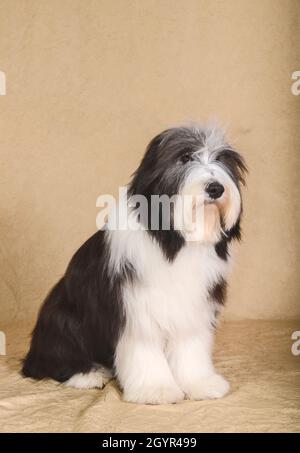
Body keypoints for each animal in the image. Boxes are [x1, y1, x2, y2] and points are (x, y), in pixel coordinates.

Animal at [22, 122, 246, 402]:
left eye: (221, 159)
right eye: (184, 157)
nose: (216, 188)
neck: (174, 241)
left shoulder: (193, 306)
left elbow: (189, 346)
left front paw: (200, 383)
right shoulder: (137, 308)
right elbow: (145, 350)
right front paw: (156, 389)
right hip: (63, 320)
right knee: (50, 362)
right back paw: (88, 375)